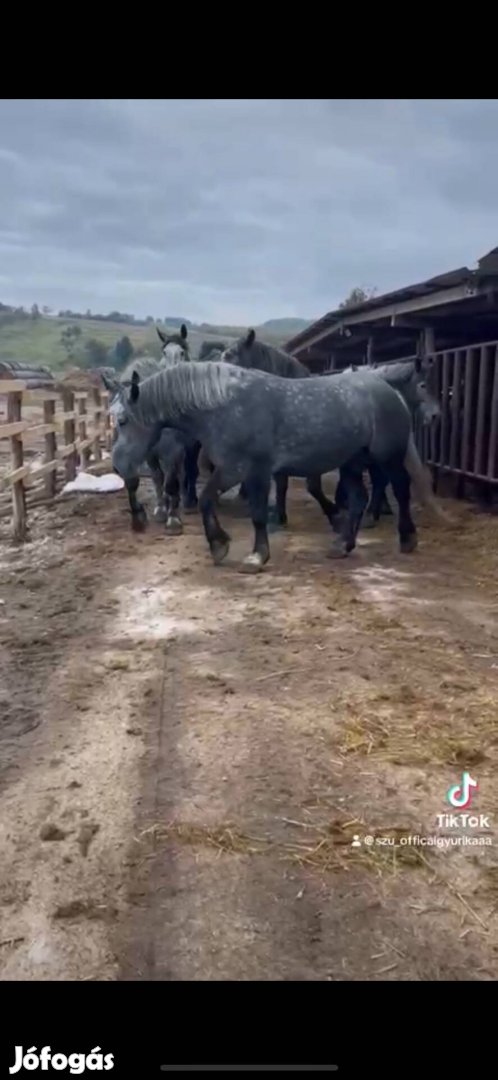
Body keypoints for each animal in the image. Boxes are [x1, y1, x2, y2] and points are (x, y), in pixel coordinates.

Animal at [110, 358, 445, 574]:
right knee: (359, 499)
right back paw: (342, 545)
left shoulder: (251, 470)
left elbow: (253, 512)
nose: (117, 465)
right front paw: (222, 546)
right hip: (352, 461)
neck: (224, 405)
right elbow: (210, 500)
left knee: (400, 490)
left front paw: (253, 556)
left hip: (387, 457)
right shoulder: (234, 470)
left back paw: (407, 539)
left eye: (123, 420)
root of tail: (391, 392)